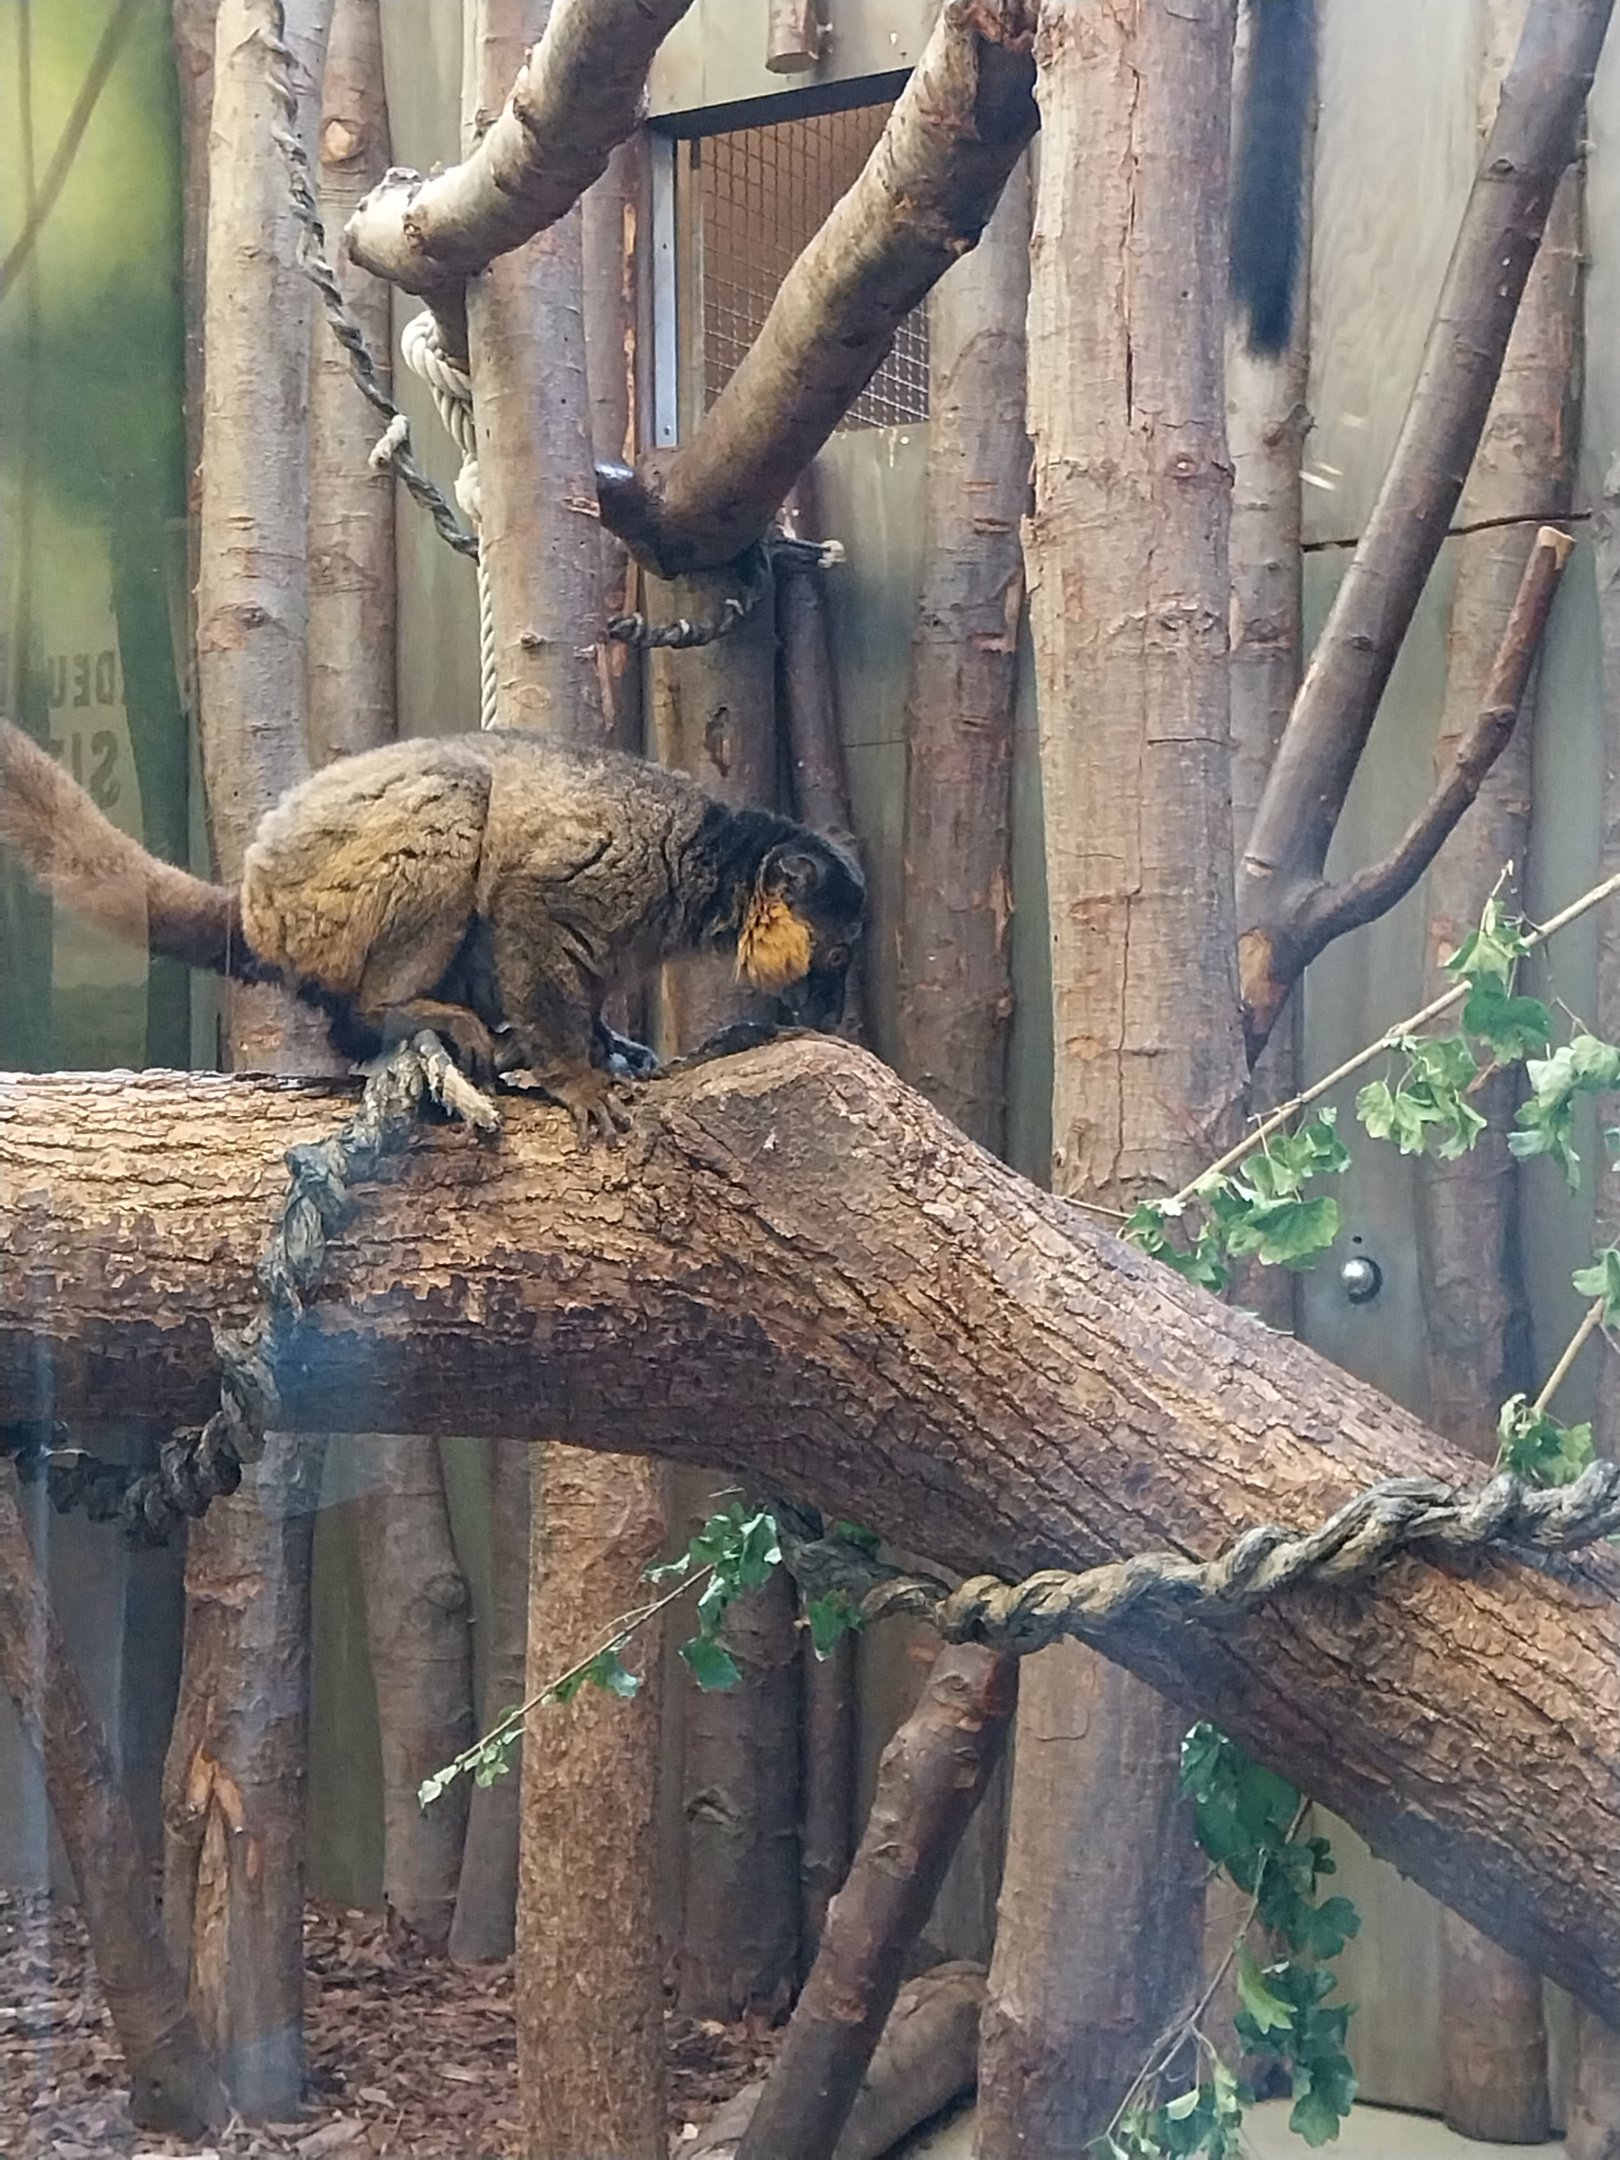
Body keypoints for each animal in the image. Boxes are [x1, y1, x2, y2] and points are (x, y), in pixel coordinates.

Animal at [0, 720, 864, 1144]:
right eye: (835, 958)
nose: (832, 1010)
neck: (711, 859)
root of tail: (253, 902)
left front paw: (607, 1045)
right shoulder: (618, 871)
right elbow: (522, 907)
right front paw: (577, 1076)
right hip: (321, 906)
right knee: (458, 788)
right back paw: (396, 1013)